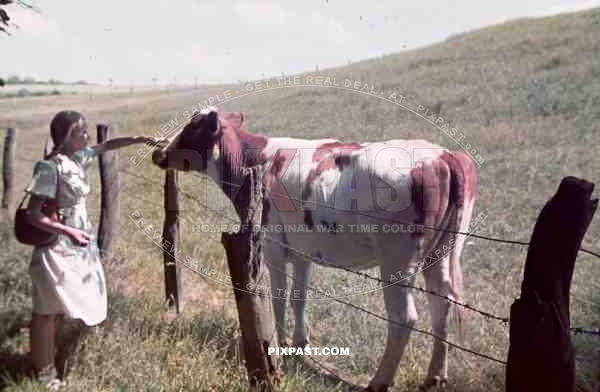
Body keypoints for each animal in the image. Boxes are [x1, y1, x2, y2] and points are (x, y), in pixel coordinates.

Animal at [152, 107, 476, 392]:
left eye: (192, 128)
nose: (159, 153)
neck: (254, 162)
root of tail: (443, 155)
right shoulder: (303, 252)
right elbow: (299, 298)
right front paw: (300, 345)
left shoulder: (272, 247)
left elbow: (279, 298)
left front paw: (279, 345)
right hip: (441, 253)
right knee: (442, 303)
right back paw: (435, 376)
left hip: (397, 261)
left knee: (404, 317)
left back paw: (379, 381)